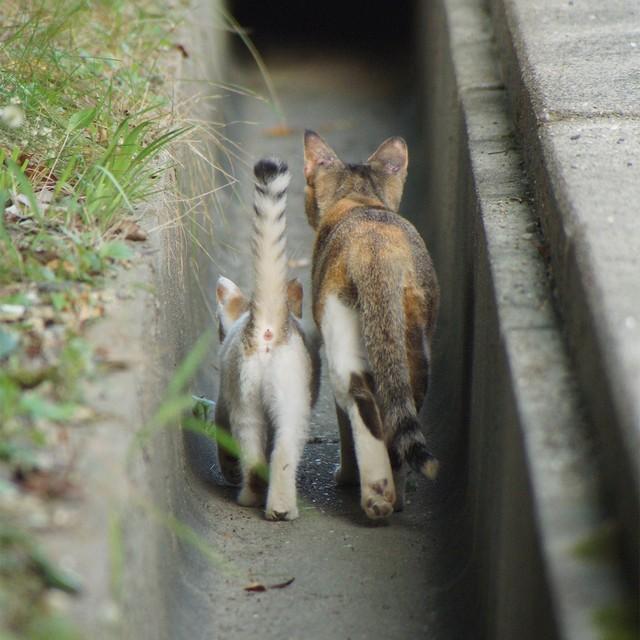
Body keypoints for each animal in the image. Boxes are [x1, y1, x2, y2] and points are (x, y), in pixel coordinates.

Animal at [302, 130, 438, 520]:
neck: (360, 201)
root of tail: (376, 251)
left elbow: (345, 429)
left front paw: (346, 476)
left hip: (341, 339)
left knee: (361, 407)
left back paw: (375, 494)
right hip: (413, 348)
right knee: (398, 417)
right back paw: (398, 497)